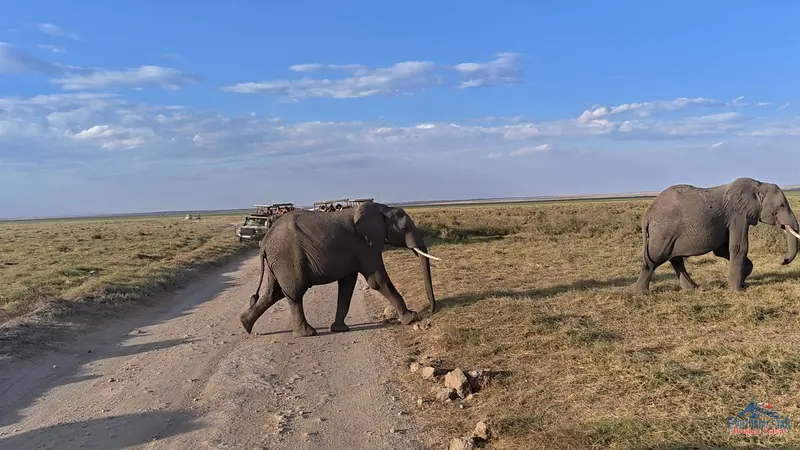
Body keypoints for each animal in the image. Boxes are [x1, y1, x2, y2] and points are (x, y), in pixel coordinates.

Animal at [239, 201, 441, 337]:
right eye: (404, 228)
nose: (431, 310)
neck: (382, 208)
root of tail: (265, 240)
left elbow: (347, 285)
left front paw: (340, 329)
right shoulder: (363, 245)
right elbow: (377, 280)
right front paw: (411, 318)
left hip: (278, 261)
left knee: (274, 294)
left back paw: (245, 325)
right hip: (287, 258)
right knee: (294, 294)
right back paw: (307, 333)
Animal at [635, 177, 800, 294]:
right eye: (781, 206)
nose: (783, 261)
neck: (759, 185)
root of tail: (647, 215)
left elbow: (722, 250)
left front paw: (743, 281)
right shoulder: (737, 215)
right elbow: (739, 247)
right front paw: (736, 291)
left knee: (675, 259)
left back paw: (693, 288)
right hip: (663, 232)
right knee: (654, 259)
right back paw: (640, 293)